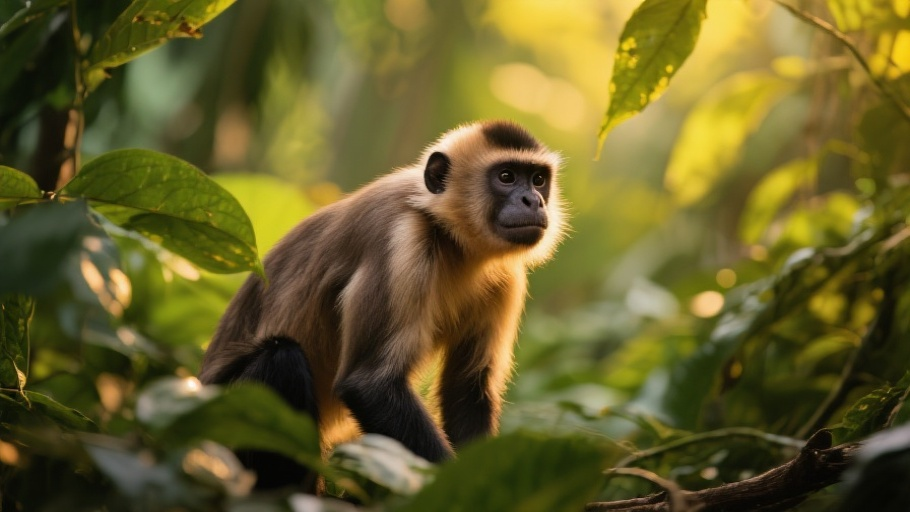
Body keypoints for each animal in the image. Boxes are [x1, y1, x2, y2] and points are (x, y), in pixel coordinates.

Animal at [198, 120, 566, 489]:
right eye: (506, 177)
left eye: (538, 180)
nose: (533, 200)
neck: (447, 234)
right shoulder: (403, 242)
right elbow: (369, 385)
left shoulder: (506, 277)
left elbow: (467, 389)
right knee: (282, 358)